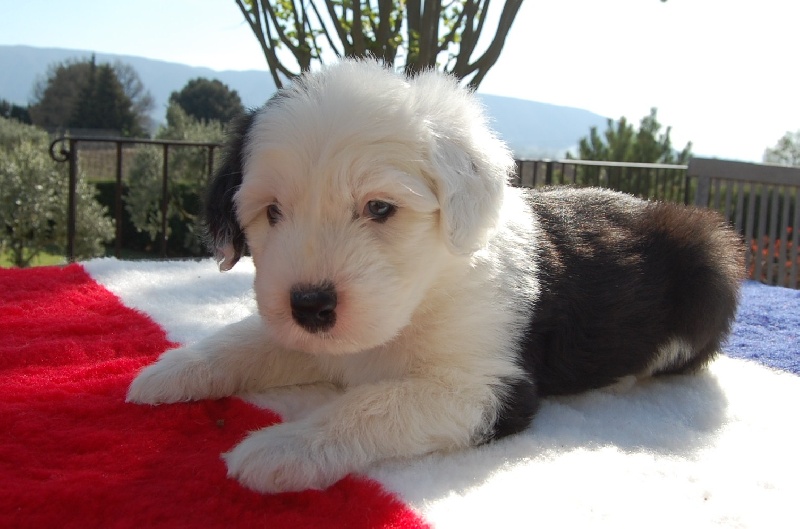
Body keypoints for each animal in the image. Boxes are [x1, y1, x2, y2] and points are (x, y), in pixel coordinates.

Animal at [127, 60, 744, 494]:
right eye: (272, 212)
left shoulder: (487, 387)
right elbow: (246, 340)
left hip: (710, 265)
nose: (310, 306)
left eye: (379, 208)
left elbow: (375, 405)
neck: (423, 297)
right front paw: (170, 372)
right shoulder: (319, 337)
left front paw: (281, 448)